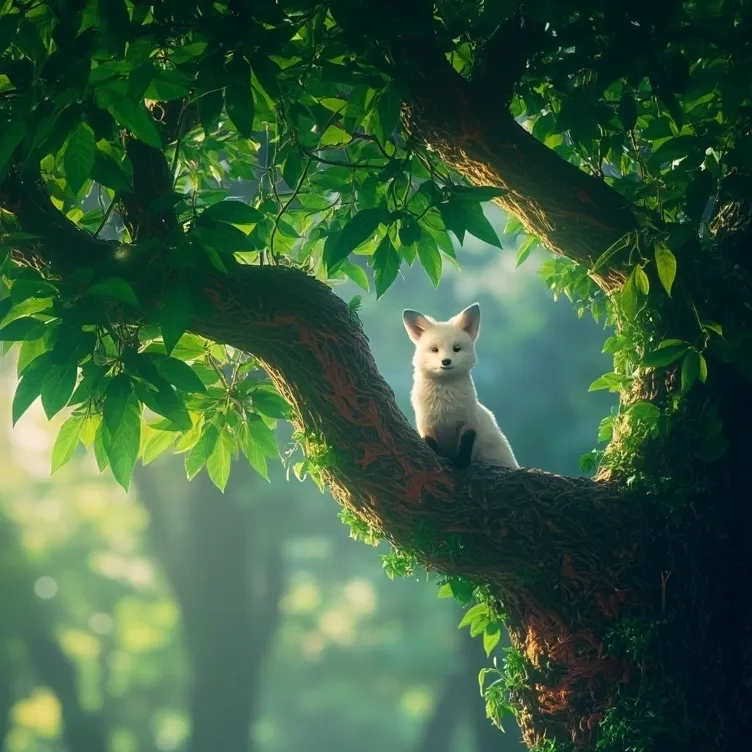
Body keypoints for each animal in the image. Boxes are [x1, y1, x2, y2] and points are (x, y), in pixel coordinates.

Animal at [402, 303, 518, 469]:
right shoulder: (426, 426)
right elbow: (434, 448)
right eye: (434, 349)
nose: (446, 361)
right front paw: (445, 460)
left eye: (456, 348)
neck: (445, 408)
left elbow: (465, 444)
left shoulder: (468, 422)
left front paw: (461, 464)